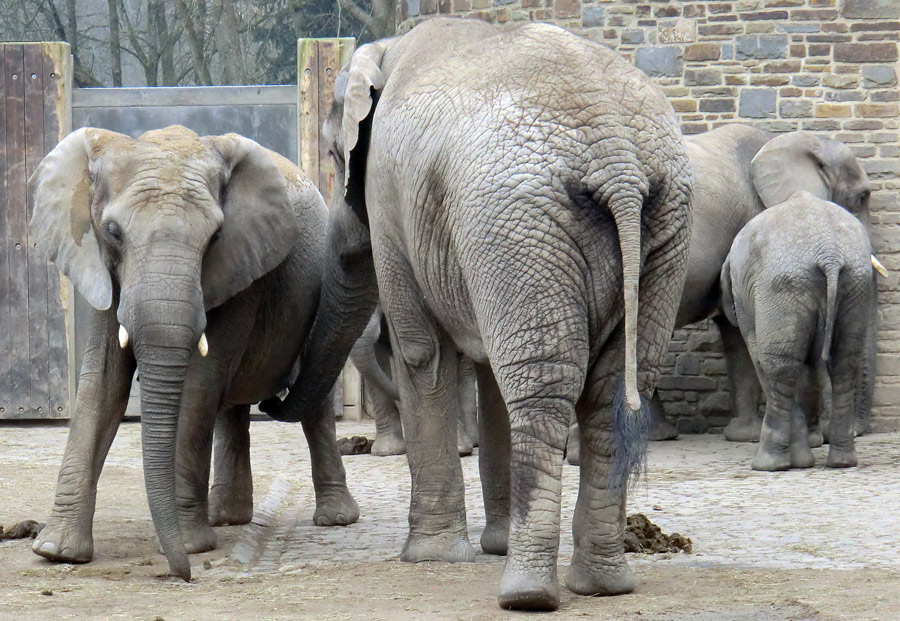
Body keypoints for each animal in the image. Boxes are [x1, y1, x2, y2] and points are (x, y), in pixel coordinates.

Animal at [29, 124, 358, 580]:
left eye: (215, 237)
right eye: (112, 232)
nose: (181, 574)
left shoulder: (241, 264)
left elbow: (197, 385)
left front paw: (190, 545)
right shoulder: (102, 266)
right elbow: (102, 385)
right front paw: (56, 551)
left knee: (314, 405)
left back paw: (334, 518)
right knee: (231, 406)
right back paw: (227, 517)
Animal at [264, 19, 692, 612]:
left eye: (334, 156)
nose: (268, 400)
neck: (387, 50)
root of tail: (619, 163)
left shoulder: (392, 202)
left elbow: (420, 352)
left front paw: (432, 558)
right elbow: (486, 368)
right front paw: (489, 545)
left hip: (517, 221)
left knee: (541, 386)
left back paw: (526, 594)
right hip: (652, 227)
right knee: (609, 389)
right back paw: (601, 585)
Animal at [716, 193, 880, 470]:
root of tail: (830, 254)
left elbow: (762, 360)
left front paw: (799, 460)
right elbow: (812, 369)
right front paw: (804, 459)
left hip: (782, 286)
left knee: (780, 368)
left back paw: (767, 464)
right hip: (855, 283)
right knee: (844, 364)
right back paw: (842, 462)